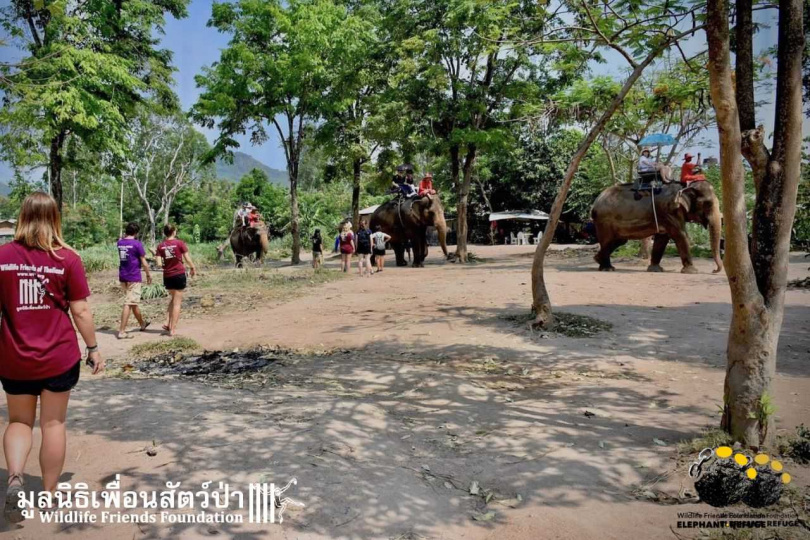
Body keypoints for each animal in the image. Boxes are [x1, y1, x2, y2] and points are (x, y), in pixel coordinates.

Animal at [588, 181, 720, 274]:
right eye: (708, 204)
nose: (714, 271)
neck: (684, 187)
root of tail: (595, 202)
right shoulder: (670, 211)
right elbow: (680, 235)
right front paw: (692, 271)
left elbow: (662, 239)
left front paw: (655, 270)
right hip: (604, 221)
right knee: (607, 241)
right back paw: (607, 268)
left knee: (618, 241)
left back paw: (598, 260)